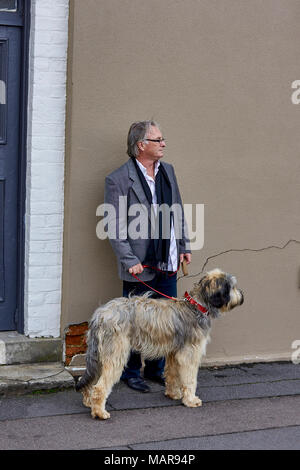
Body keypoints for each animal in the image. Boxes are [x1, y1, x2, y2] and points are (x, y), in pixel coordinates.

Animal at [75, 268, 244, 418]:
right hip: (115, 354)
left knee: (89, 378)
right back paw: (99, 412)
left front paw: (173, 394)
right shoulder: (189, 354)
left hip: (98, 354)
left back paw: (88, 401)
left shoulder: (174, 353)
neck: (196, 306)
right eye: (232, 287)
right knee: (100, 387)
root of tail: (100, 315)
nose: (242, 295)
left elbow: (172, 374)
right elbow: (190, 379)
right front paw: (191, 400)